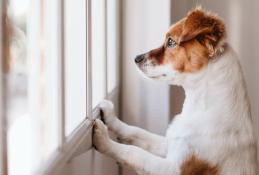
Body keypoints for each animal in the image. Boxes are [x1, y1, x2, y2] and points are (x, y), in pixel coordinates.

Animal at [92, 7, 258, 175]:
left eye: (171, 42)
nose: (136, 58)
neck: (200, 108)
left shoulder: (173, 168)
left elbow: (134, 152)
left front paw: (104, 140)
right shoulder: (170, 144)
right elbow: (137, 132)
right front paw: (110, 116)